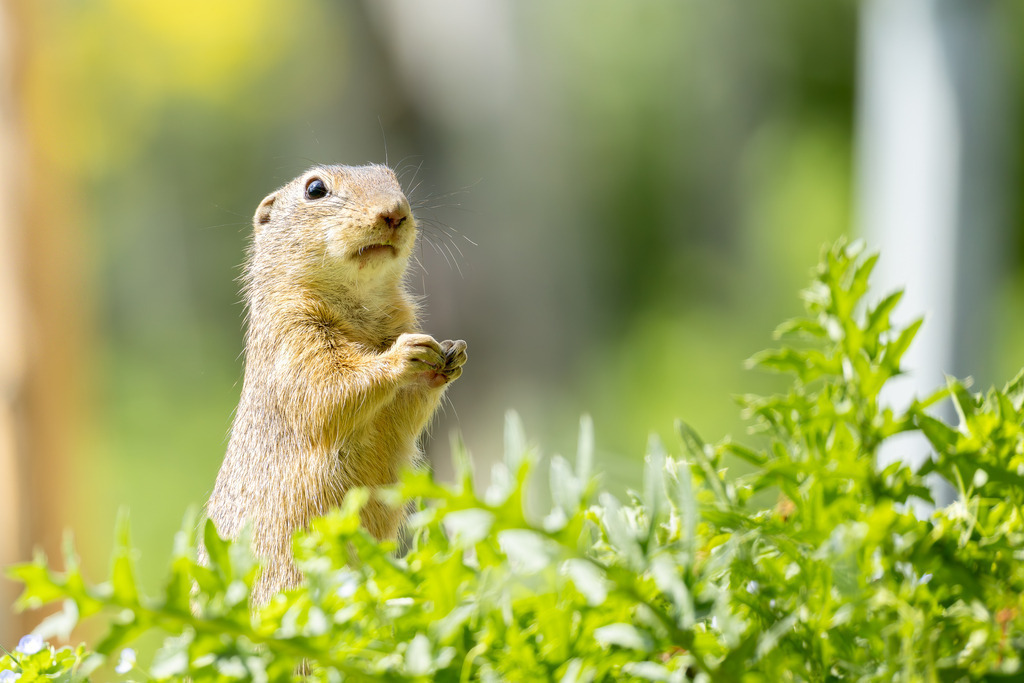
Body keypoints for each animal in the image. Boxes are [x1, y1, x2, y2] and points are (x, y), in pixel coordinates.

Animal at [203, 163, 467, 605]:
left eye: (393, 178)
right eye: (315, 189)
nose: (395, 211)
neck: (359, 304)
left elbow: (405, 413)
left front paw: (450, 355)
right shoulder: (292, 337)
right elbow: (329, 390)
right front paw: (403, 355)